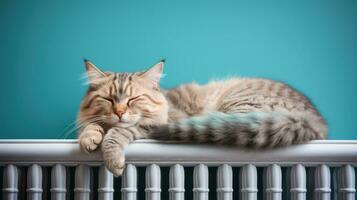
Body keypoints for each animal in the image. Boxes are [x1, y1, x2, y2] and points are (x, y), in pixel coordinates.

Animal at [77, 59, 326, 175]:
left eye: (133, 99)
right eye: (109, 100)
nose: (119, 112)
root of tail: (315, 119)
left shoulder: (153, 124)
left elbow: (118, 131)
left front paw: (112, 158)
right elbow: (91, 126)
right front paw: (89, 138)